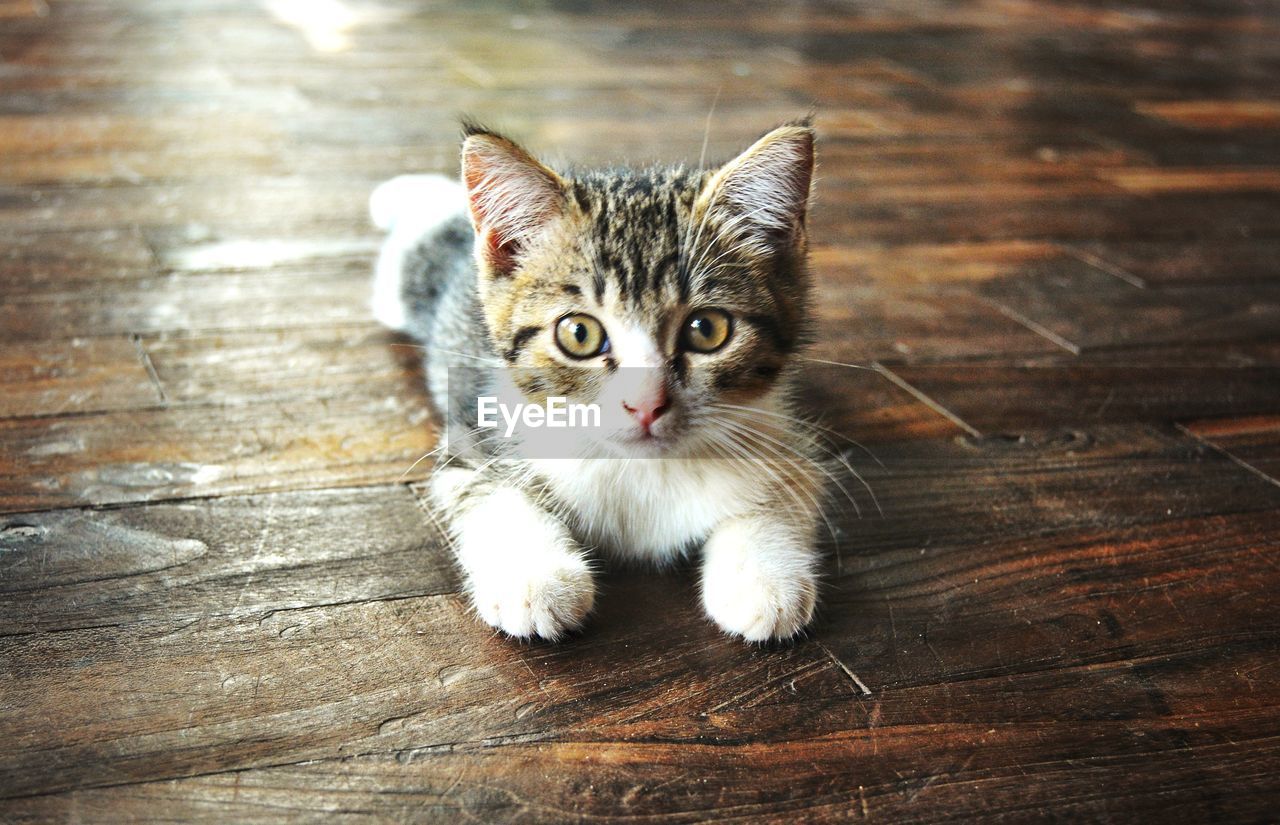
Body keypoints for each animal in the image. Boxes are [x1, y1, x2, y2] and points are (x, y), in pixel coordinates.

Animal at [371, 118, 829, 639]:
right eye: (579, 334)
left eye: (706, 329)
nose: (646, 404)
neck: (643, 470)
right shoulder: (474, 436)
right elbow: (492, 493)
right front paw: (535, 577)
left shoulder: (780, 429)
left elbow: (788, 484)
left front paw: (764, 578)